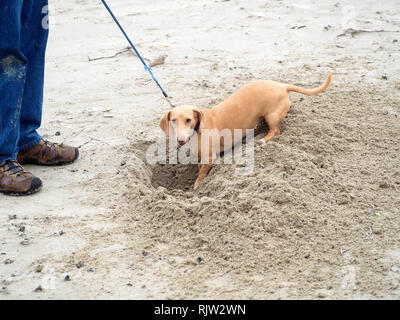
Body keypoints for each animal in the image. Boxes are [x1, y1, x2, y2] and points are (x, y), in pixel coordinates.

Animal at [159, 74, 332, 189]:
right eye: (173, 120)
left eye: (188, 120)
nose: (180, 140)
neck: (198, 131)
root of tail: (281, 86)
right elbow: (199, 167)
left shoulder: (210, 157)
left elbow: (202, 173)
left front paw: (197, 185)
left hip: (272, 116)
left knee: (275, 131)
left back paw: (262, 139)